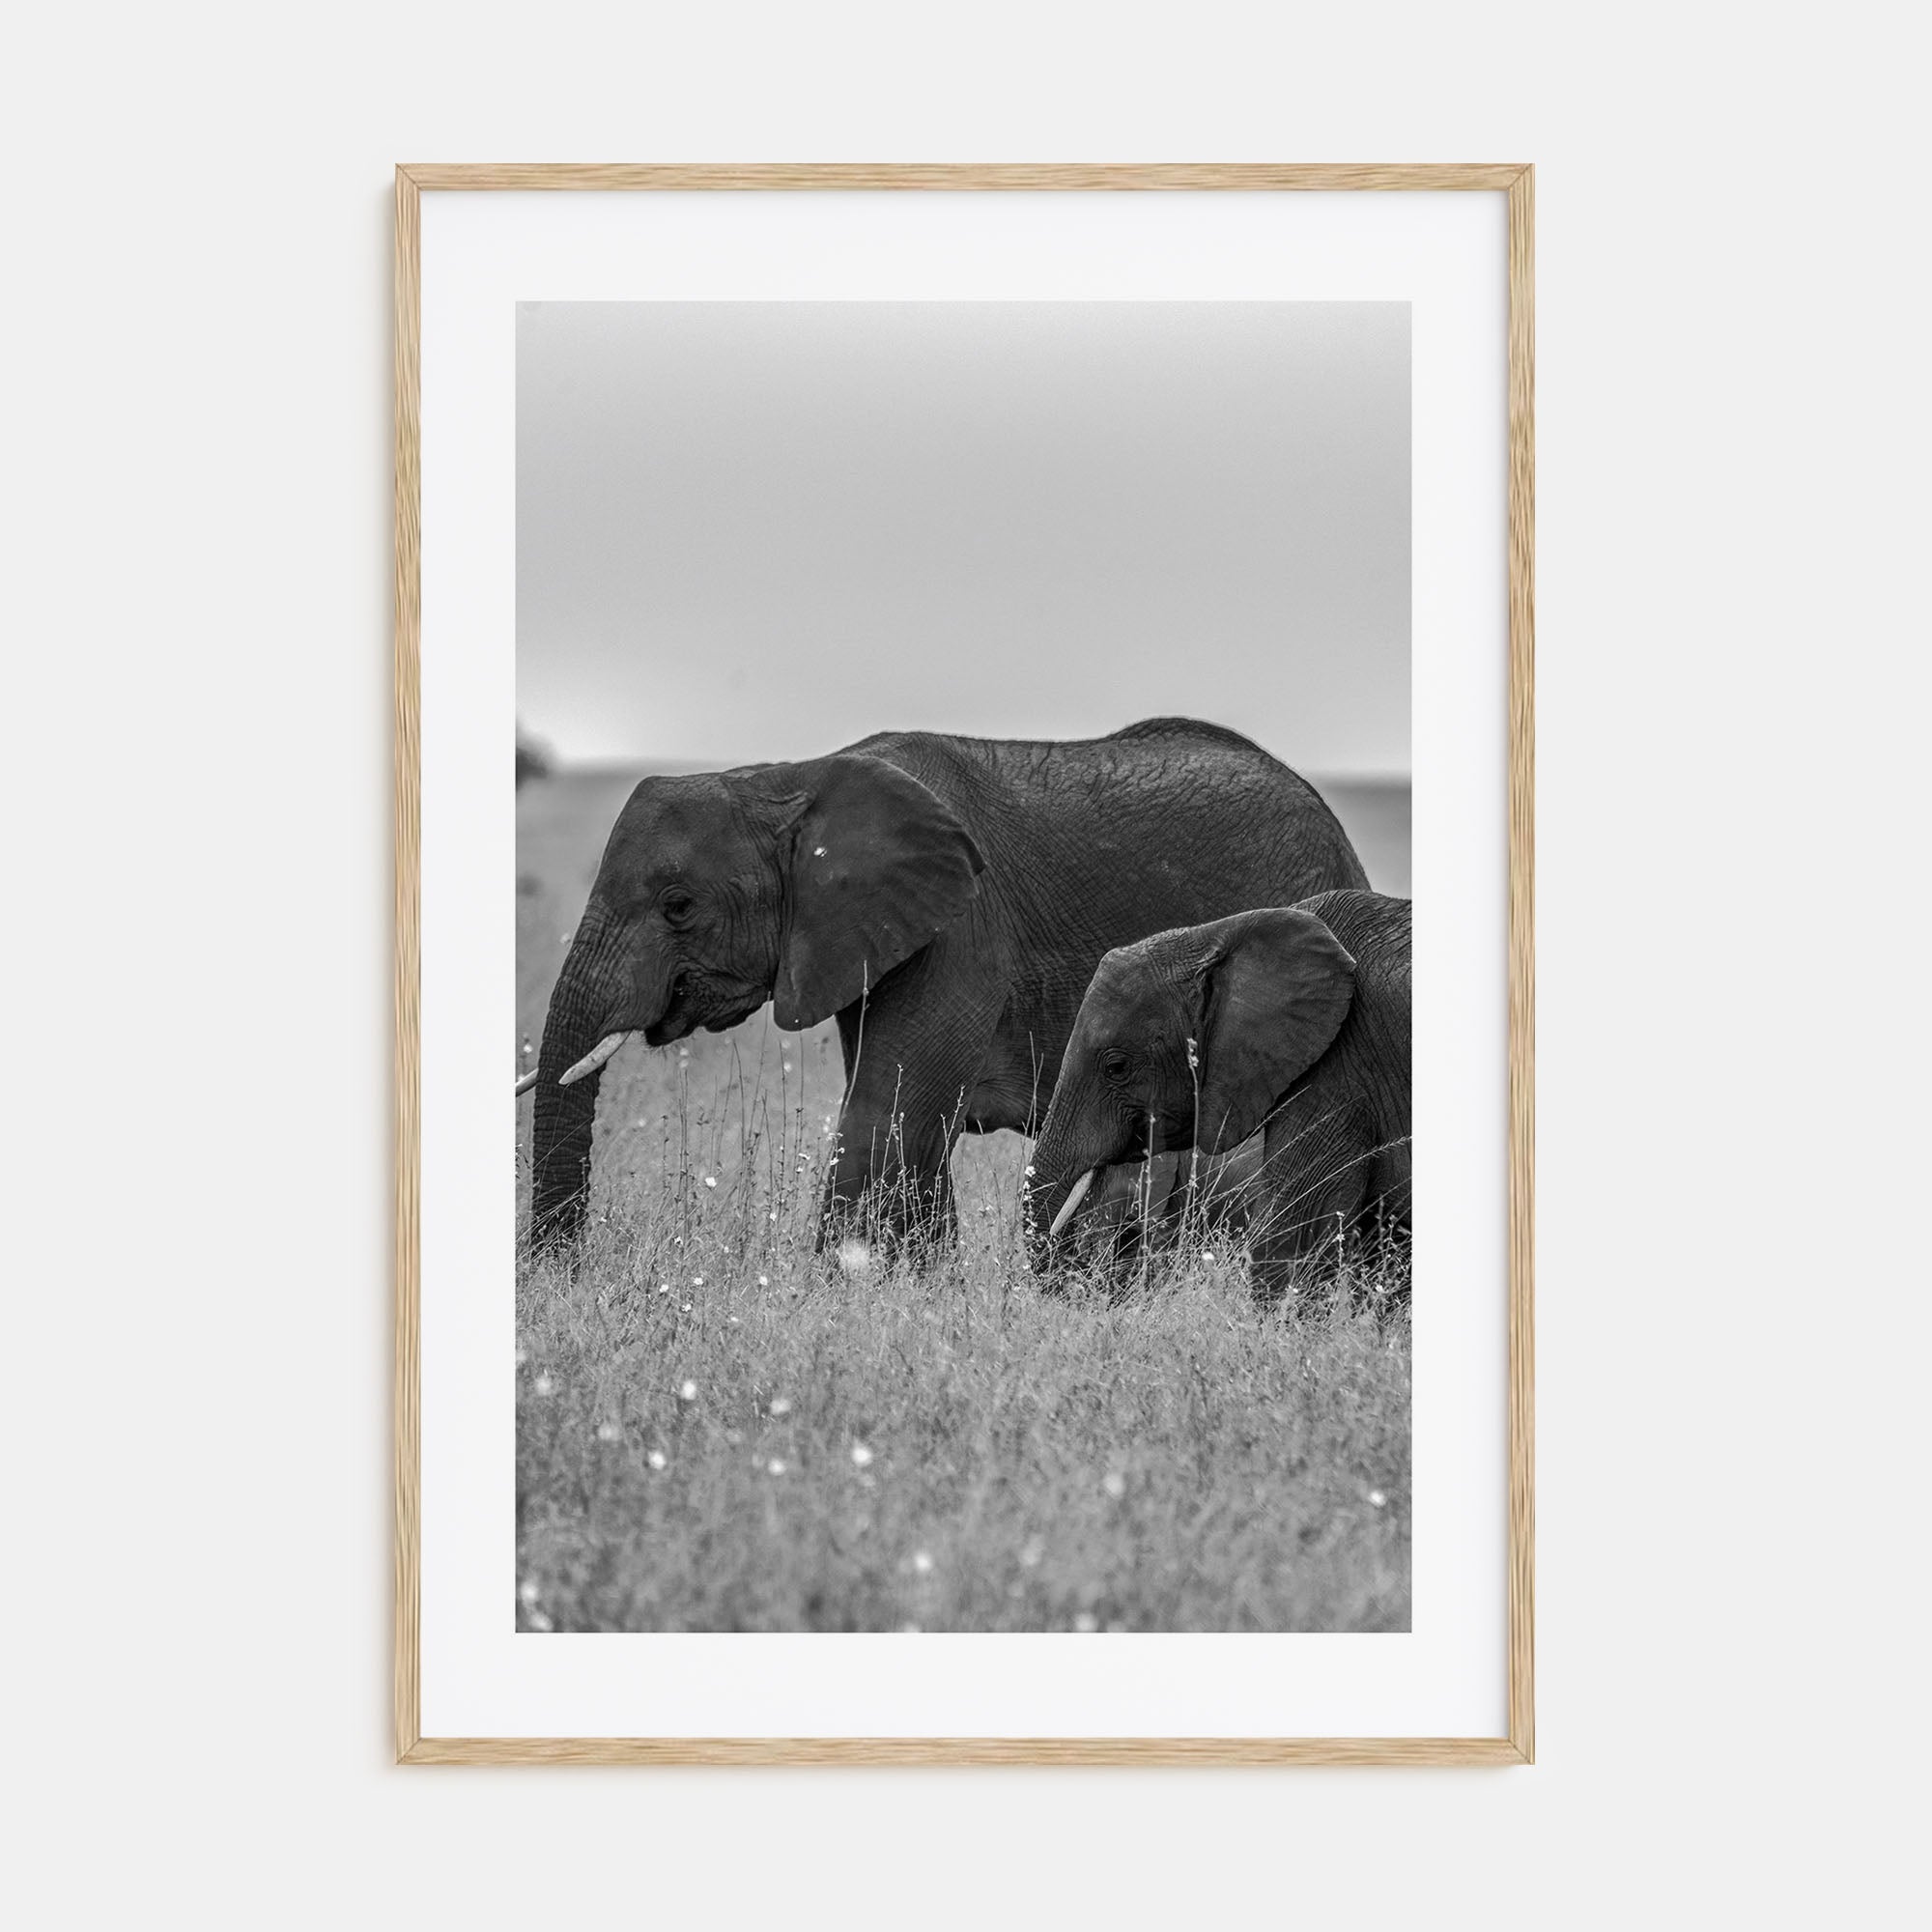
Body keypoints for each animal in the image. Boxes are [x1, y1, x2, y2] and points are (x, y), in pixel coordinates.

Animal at [520, 719, 1369, 1254]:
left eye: (678, 906)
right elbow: (910, 1124)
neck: (790, 780)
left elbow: (885, 1113)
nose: (565, 1273)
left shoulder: (960, 928)